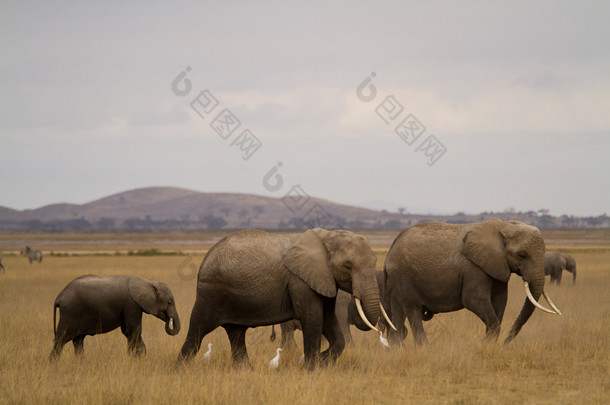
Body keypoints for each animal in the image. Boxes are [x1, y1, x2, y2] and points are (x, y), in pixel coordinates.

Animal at [49, 274, 178, 360]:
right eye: (169, 302)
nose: (169, 319)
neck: (148, 282)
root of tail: (59, 297)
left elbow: (127, 332)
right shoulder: (132, 305)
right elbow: (133, 331)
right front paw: (138, 357)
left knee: (78, 341)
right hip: (69, 313)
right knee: (61, 340)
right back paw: (54, 364)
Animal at [175, 229, 394, 368]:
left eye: (374, 261)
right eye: (348, 266)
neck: (327, 237)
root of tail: (204, 259)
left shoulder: (324, 279)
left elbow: (330, 322)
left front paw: (320, 361)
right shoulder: (300, 281)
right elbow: (314, 319)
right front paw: (310, 367)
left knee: (236, 333)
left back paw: (246, 371)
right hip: (210, 292)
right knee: (197, 331)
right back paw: (180, 370)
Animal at [380, 219, 560, 346]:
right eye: (522, 255)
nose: (505, 343)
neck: (504, 226)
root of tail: (390, 250)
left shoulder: (498, 265)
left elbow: (500, 301)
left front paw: (488, 344)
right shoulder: (474, 267)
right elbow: (473, 299)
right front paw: (484, 344)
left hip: (398, 279)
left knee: (398, 311)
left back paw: (397, 349)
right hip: (404, 275)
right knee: (413, 310)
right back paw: (425, 348)